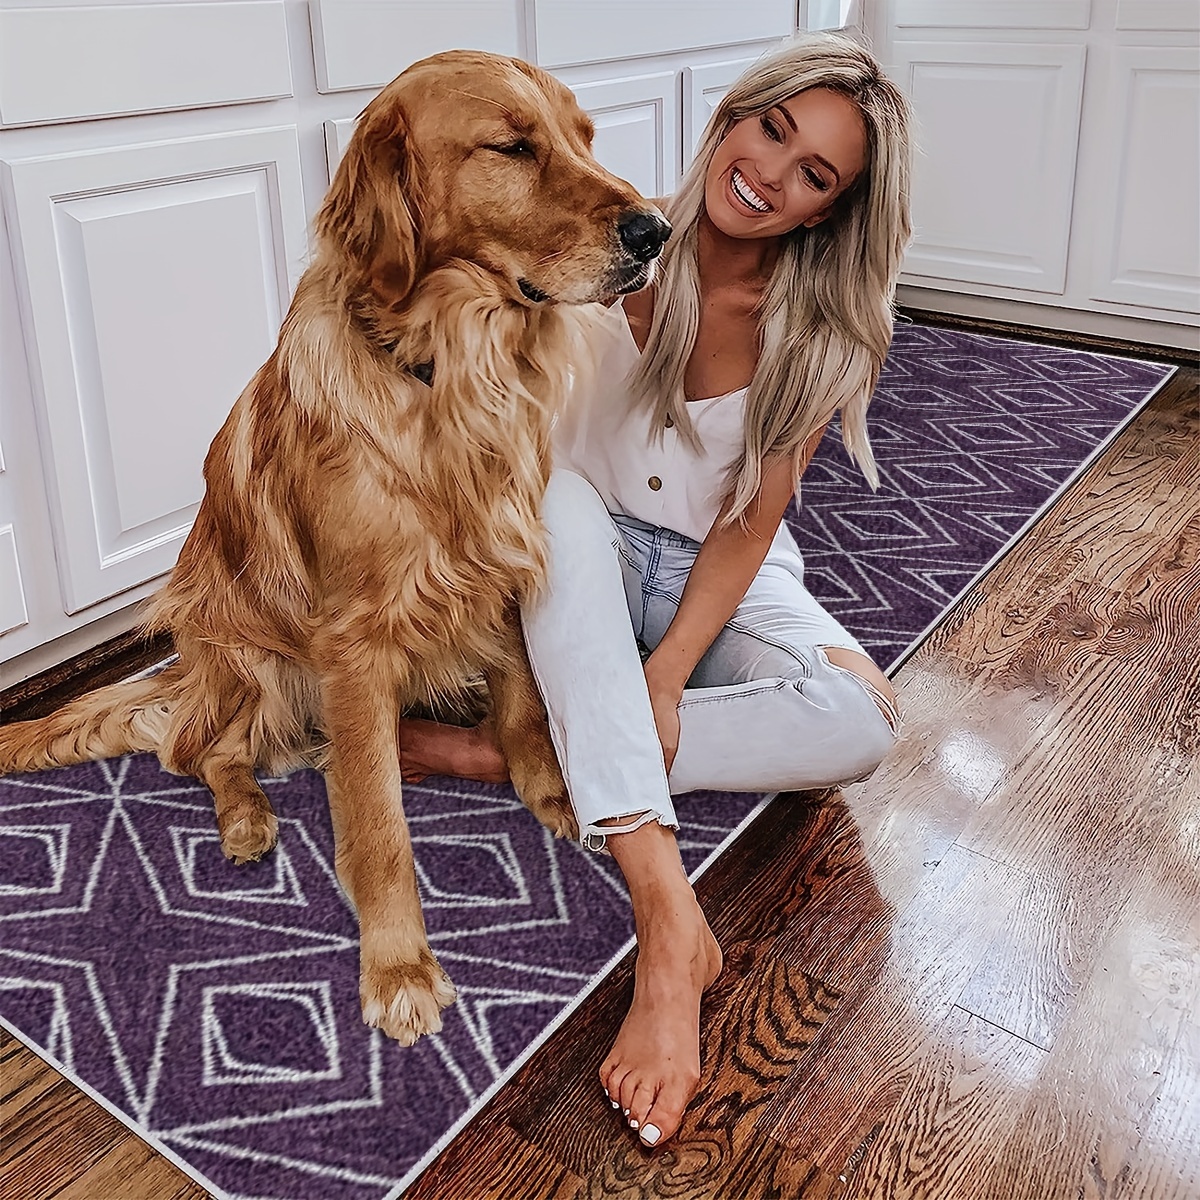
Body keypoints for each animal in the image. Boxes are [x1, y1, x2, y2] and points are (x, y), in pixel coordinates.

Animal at [0, 49, 667, 1041]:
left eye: (586, 136)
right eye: (512, 147)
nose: (658, 230)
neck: (448, 370)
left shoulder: (500, 564)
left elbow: (520, 699)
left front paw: (549, 789)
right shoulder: (352, 642)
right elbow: (378, 824)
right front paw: (397, 968)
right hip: (252, 655)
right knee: (198, 752)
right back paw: (244, 818)